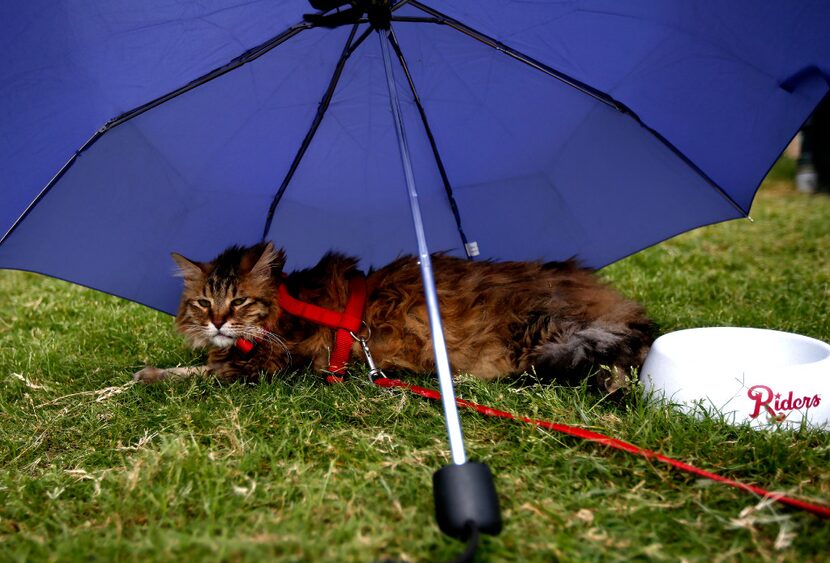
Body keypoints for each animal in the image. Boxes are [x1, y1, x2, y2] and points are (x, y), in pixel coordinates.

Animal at [135, 241, 656, 392]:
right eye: (204, 303)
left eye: (239, 301)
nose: (218, 322)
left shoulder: (277, 365)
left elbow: (202, 372)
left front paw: (149, 373)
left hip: (547, 331)